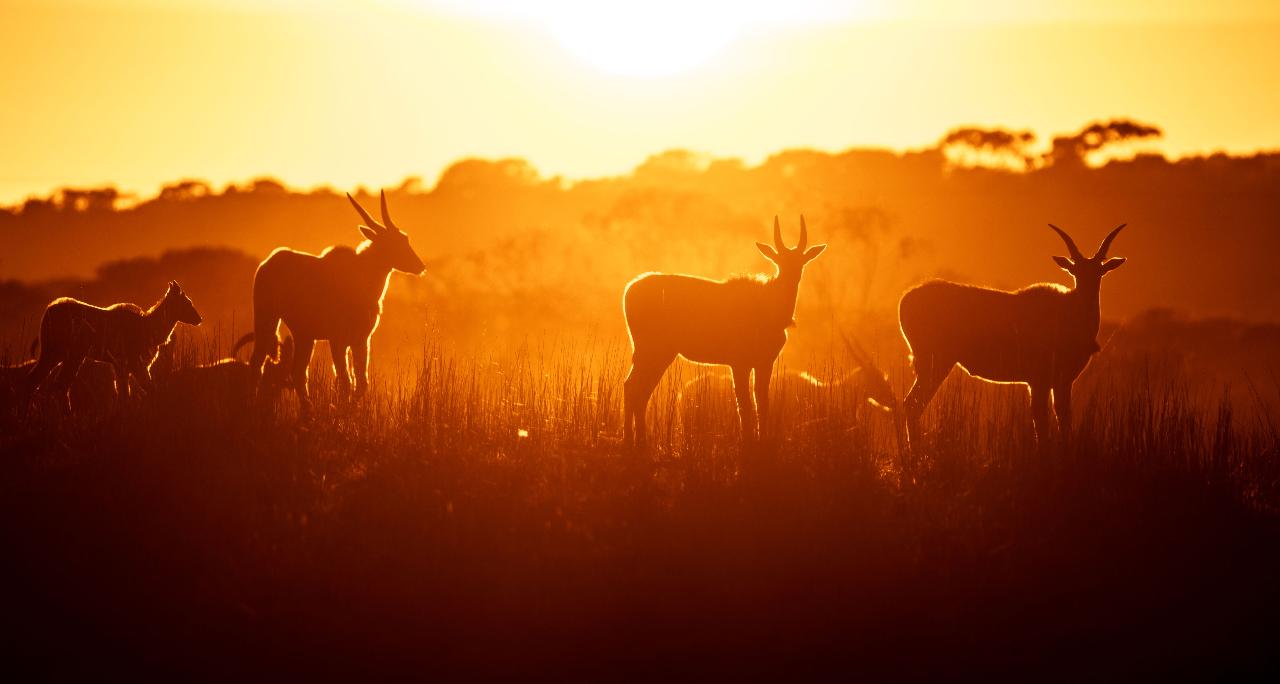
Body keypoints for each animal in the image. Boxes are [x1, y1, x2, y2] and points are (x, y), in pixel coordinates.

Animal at [21, 281, 202, 409]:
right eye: (187, 302)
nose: (199, 319)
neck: (151, 330)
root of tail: (46, 315)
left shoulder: (121, 365)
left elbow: (124, 392)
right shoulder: (133, 361)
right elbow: (146, 388)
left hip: (56, 352)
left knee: (39, 381)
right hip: (69, 352)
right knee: (58, 384)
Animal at [247, 189, 427, 417]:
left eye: (404, 238)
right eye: (392, 242)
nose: (419, 266)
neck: (362, 281)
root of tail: (267, 263)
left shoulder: (361, 340)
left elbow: (361, 383)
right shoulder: (338, 340)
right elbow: (345, 382)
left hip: (305, 335)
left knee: (298, 372)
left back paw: (308, 413)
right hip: (268, 318)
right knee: (257, 362)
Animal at [622, 216, 829, 450]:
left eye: (802, 261)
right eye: (779, 261)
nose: (791, 278)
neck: (770, 312)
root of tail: (628, 292)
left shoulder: (765, 361)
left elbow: (762, 402)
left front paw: (762, 440)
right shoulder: (738, 361)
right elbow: (744, 404)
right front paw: (747, 440)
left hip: (657, 352)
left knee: (636, 388)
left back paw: (638, 440)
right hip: (653, 349)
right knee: (634, 387)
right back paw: (632, 440)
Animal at [896, 225, 1126, 450]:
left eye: (1100, 271)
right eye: (1075, 271)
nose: (1087, 293)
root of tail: (905, 299)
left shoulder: (1061, 382)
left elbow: (1063, 418)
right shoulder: (1039, 380)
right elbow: (1041, 422)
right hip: (936, 363)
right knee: (912, 405)